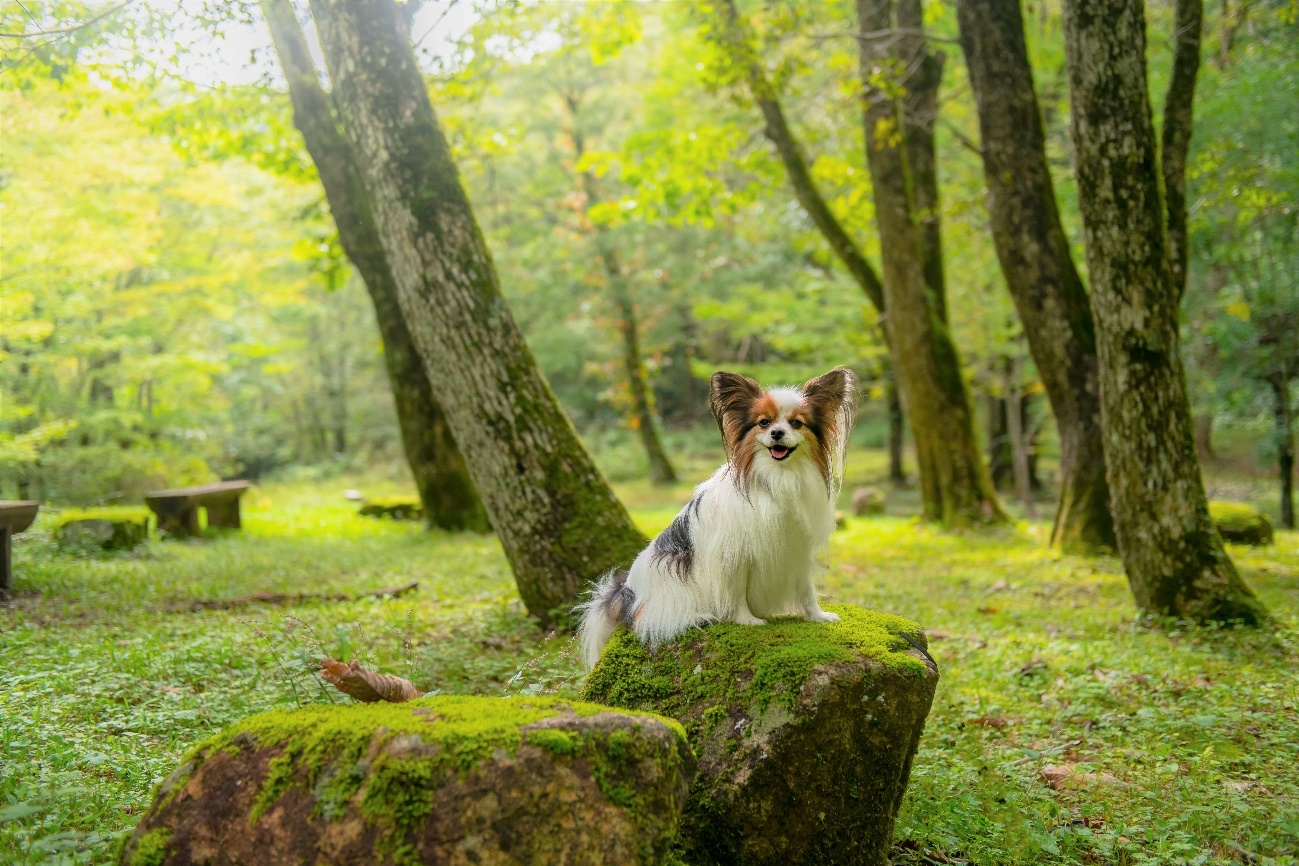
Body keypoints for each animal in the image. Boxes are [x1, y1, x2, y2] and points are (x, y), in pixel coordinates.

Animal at [576, 366, 857, 669]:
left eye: (796, 423)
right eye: (763, 423)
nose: (777, 433)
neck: (777, 477)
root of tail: (626, 592)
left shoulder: (796, 547)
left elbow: (806, 588)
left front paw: (817, 616)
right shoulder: (733, 554)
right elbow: (736, 592)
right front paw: (746, 619)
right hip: (668, 568)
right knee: (644, 620)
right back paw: (697, 616)